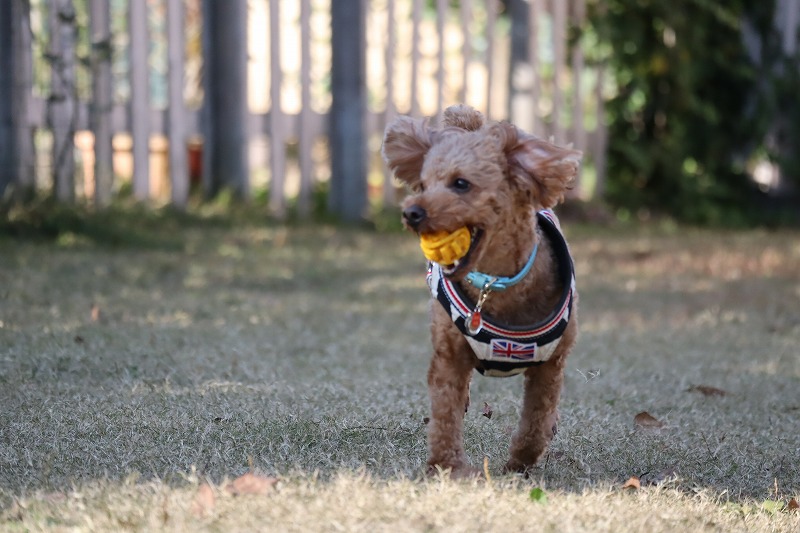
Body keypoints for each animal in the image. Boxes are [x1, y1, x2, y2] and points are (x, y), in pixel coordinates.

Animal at [382, 104, 580, 477]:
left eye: (461, 184)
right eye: (423, 184)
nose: (411, 212)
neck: (494, 282)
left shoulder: (550, 364)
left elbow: (536, 418)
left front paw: (520, 462)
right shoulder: (449, 356)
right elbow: (445, 415)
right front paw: (449, 466)